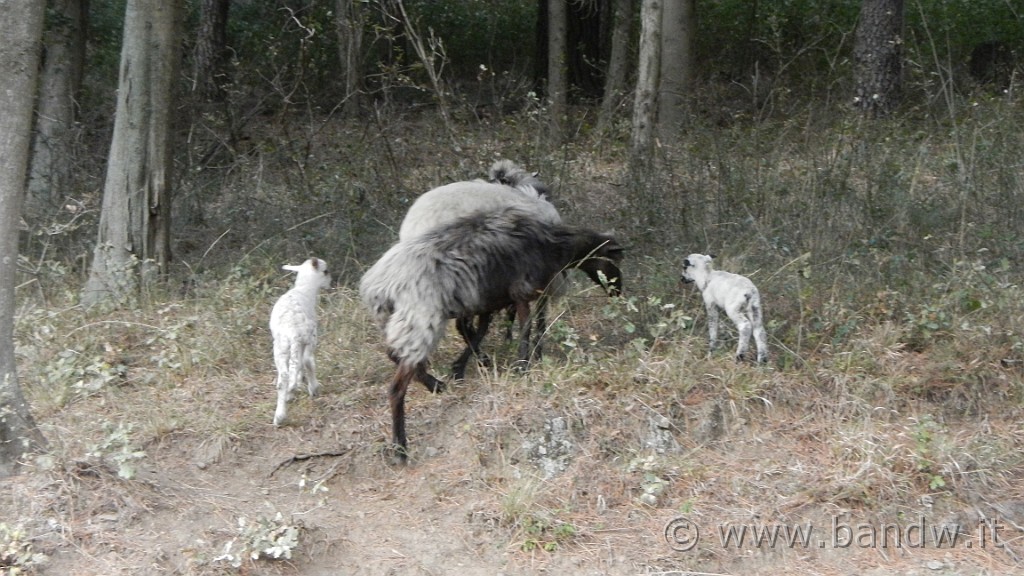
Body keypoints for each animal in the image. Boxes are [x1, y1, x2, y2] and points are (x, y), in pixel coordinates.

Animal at [268, 255, 331, 422]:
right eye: (326, 271)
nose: (330, 283)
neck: (304, 289)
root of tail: (293, 331)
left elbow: (297, 365)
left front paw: (296, 382)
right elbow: (303, 362)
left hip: (281, 347)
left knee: (284, 376)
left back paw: (280, 416)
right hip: (310, 338)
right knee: (308, 360)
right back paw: (313, 388)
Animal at [358, 206, 622, 461]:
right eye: (614, 259)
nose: (618, 292)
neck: (555, 245)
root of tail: (378, 285)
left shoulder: (490, 300)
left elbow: (481, 331)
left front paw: (465, 366)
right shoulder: (523, 292)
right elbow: (526, 327)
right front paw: (523, 365)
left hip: (397, 321)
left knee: (394, 354)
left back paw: (435, 384)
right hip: (419, 321)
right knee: (396, 387)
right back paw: (401, 448)